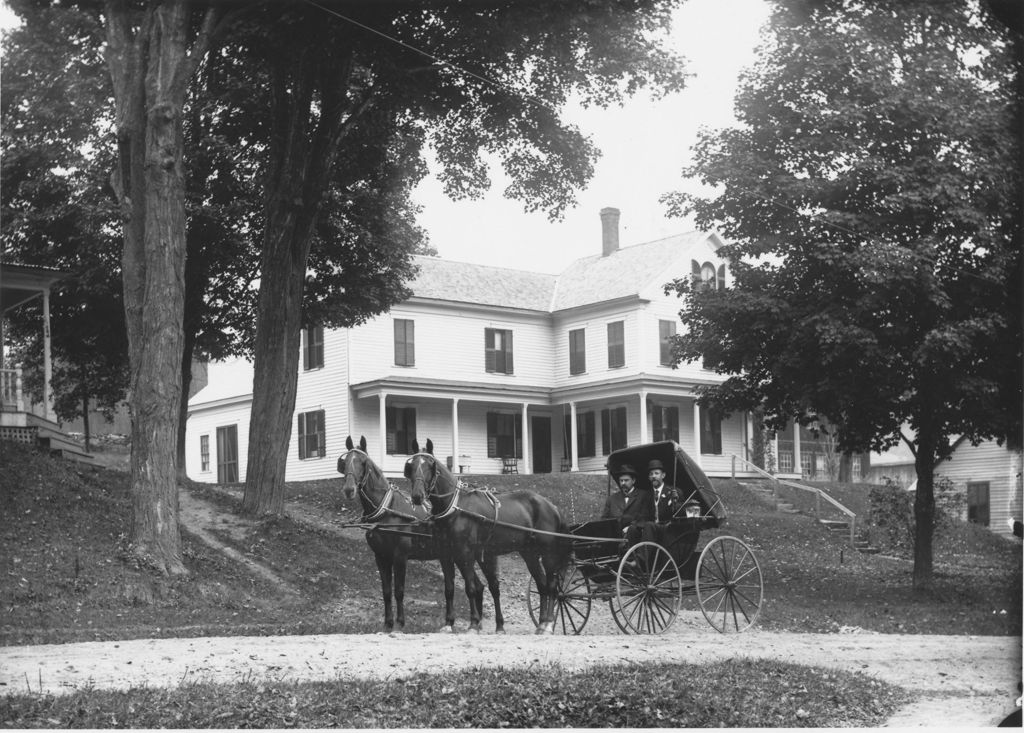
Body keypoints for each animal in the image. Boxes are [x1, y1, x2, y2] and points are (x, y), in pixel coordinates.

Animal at [337, 438, 505, 634]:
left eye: (363, 463)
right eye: (345, 461)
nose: (349, 489)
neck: (387, 510)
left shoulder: (400, 556)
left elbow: (399, 590)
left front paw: (399, 624)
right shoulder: (381, 557)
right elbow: (386, 592)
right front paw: (387, 625)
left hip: (481, 555)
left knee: (493, 586)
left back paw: (499, 625)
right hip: (460, 556)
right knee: (478, 586)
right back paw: (476, 624)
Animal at [405, 440, 569, 634]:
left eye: (431, 466)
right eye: (411, 466)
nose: (417, 496)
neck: (455, 508)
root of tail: (552, 506)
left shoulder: (465, 553)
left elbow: (470, 588)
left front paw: (474, 623)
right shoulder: (445, 554)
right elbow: (449, 588)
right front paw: (449, 623)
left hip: (548, 552)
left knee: (551, 586)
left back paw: (548, 623)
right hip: (529, 553)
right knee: (542, 585)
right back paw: (542, 623)